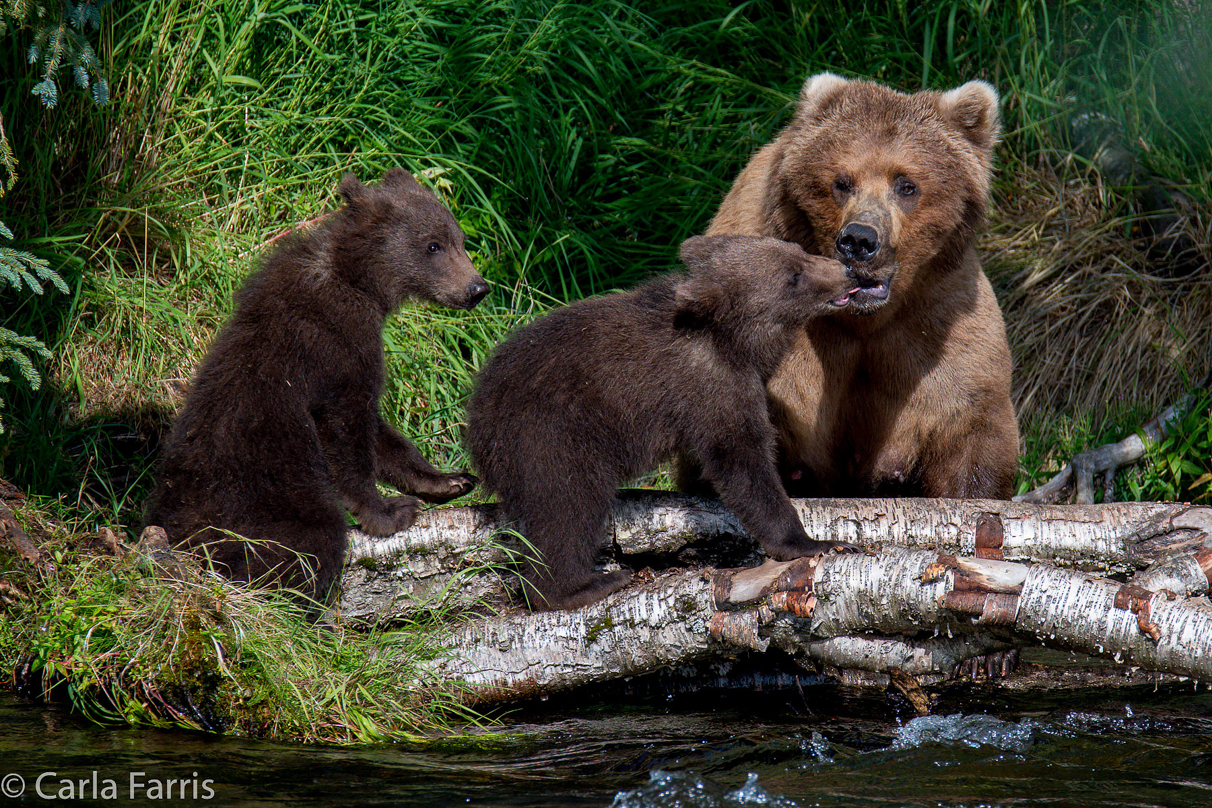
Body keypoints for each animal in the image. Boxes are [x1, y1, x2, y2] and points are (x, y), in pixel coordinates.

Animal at [693, 72, 1013, 499]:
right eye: (841, 182)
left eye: (906, 185)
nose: (859, 240)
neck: (862, 318)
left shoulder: (937, 321)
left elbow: (970, 419)